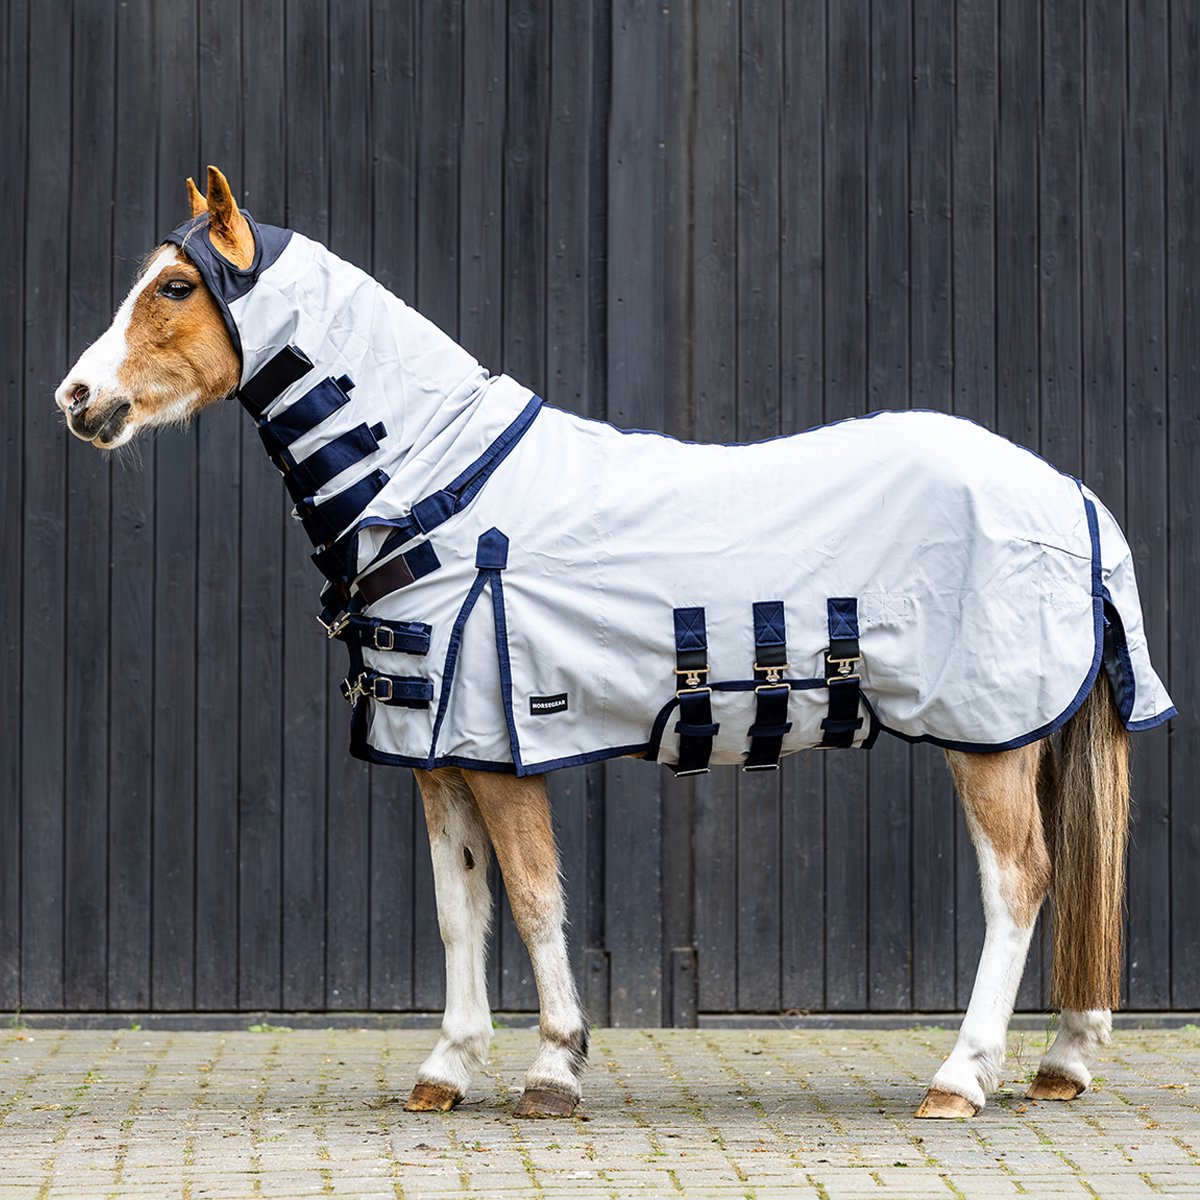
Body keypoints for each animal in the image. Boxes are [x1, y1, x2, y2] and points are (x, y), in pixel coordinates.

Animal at [55, 166, 1174, 1120]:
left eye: (174, 285)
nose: (76, 399)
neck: (445, 489)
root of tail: (1067, 494)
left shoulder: (501, 754)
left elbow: (534, 899)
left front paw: (554, 1068)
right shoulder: (438, 759)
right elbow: (461, 906)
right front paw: (447, 1068)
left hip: (987, 739)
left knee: (1020, 881)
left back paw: (962, 1076)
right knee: (1073, 875)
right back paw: (1064, 1061)